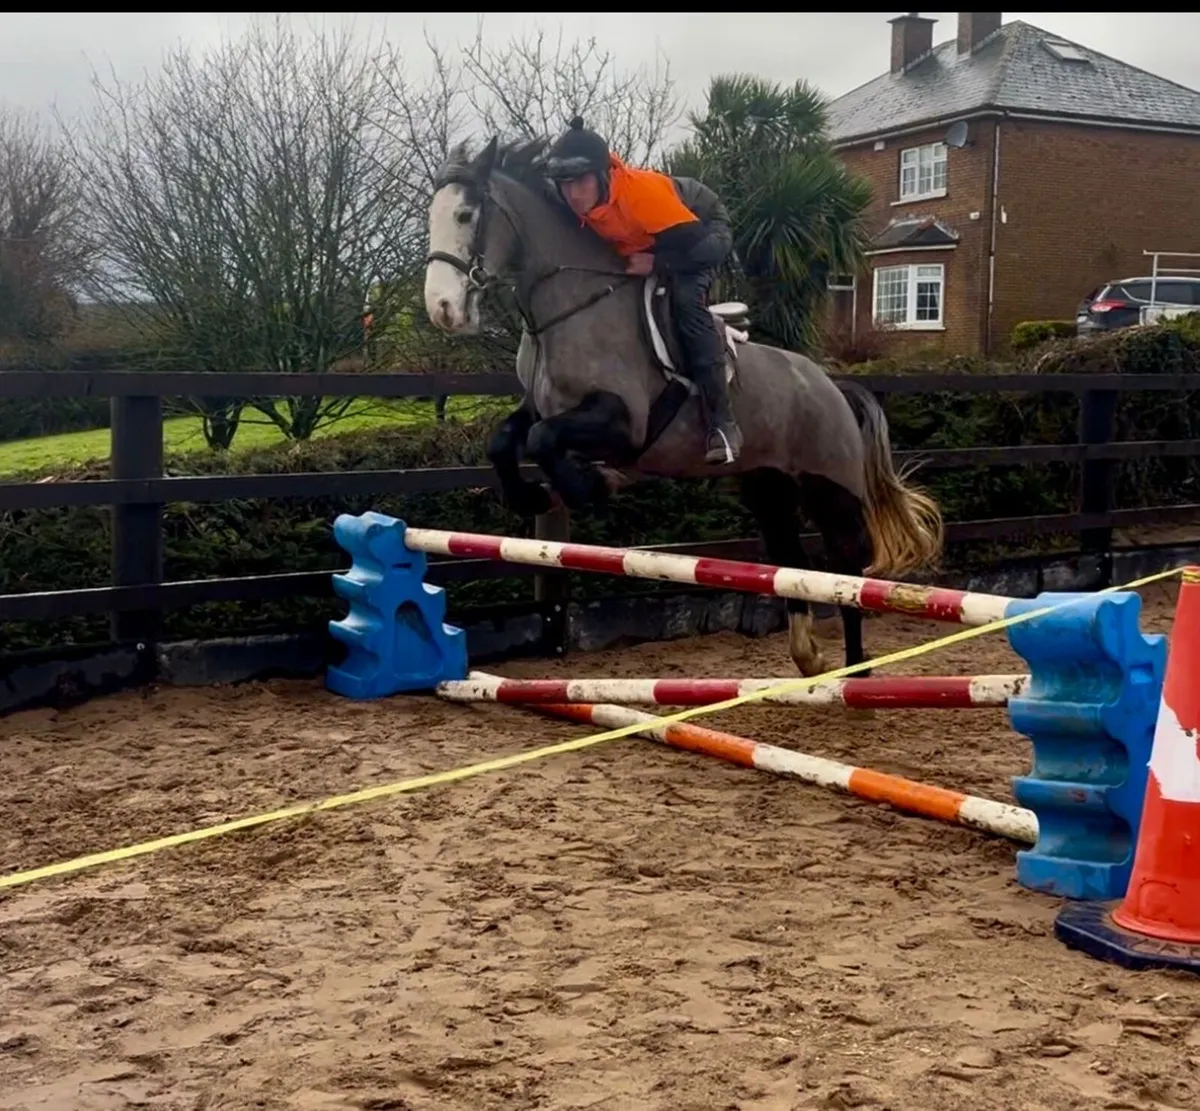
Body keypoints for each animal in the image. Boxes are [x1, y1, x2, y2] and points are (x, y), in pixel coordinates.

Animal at [421, 135, 945, 677]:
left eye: (465, 215)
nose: (442, 310)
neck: (574, 307)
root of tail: (831, 385)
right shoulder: (542, 406)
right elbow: (506, 439)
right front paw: (532, 497)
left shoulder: (624, 422)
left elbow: (545, 441)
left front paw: (592, 484)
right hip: (768, 485)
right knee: (791, 559)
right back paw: (809, 656)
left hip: (829, 486)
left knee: (846, 569)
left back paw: (856, 671)